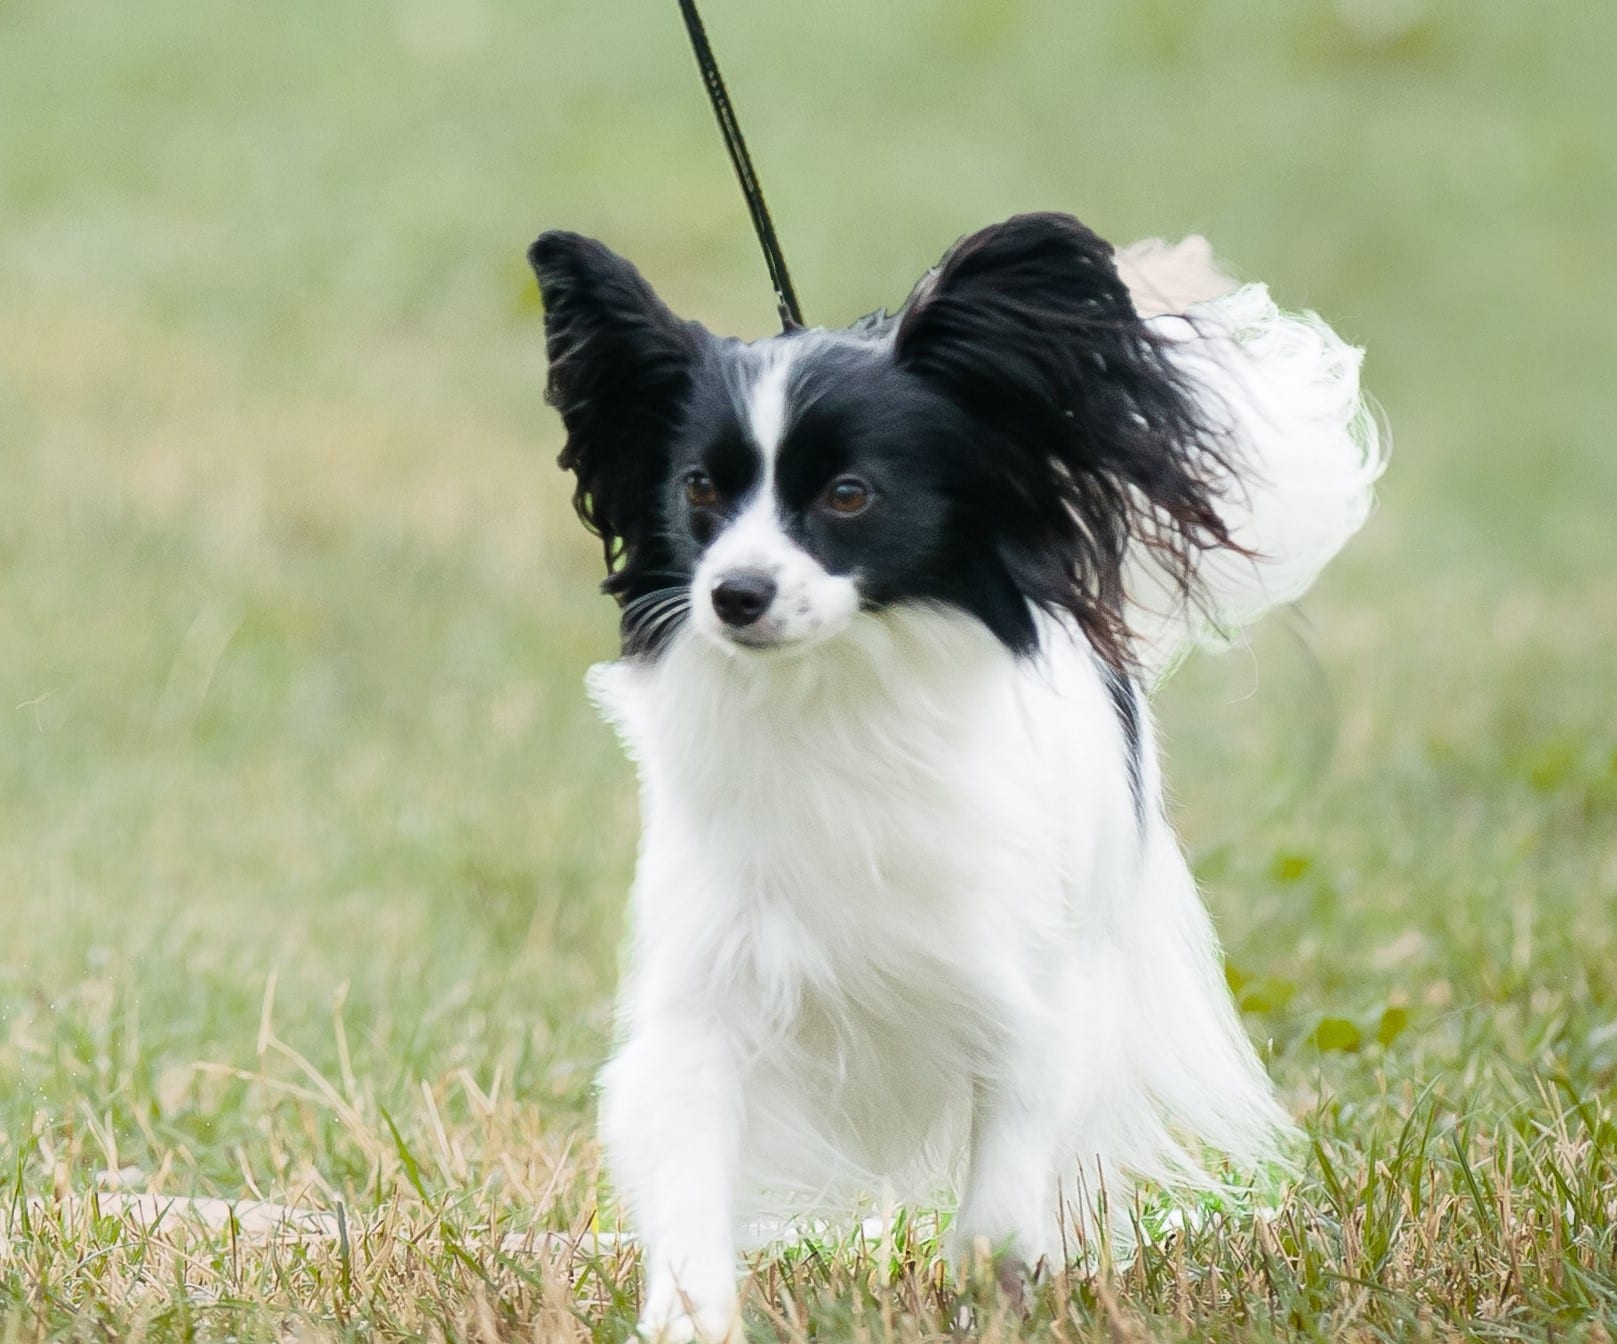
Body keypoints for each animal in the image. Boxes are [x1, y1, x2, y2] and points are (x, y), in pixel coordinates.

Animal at [527, 213, 1382, 1342]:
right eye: (698, 490)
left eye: (849, 496)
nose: (734, 594)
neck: (838, 694)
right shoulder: (706, 990)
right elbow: (687, 1169)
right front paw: (689, 1315)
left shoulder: (1029, 994)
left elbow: (1004, 1181)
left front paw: (996, 1284)